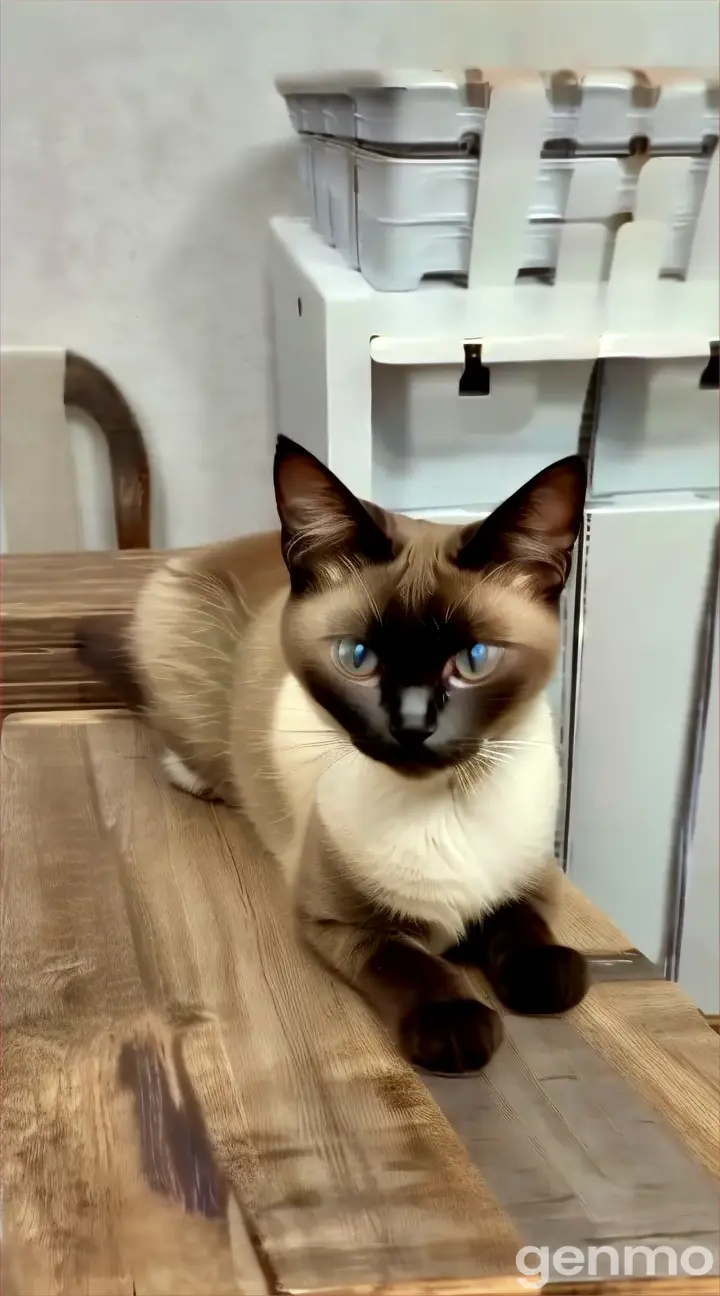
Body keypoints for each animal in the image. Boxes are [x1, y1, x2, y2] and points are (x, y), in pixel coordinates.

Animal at [78, 435, 587, 1073]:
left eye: (473, 660)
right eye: (357, 657)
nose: (412, 728)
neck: (440, 803)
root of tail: (214, 551)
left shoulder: (532, 878)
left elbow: (525, 931)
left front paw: (542, 977)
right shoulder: (339, 920)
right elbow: (411, 964)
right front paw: (457, 1025)